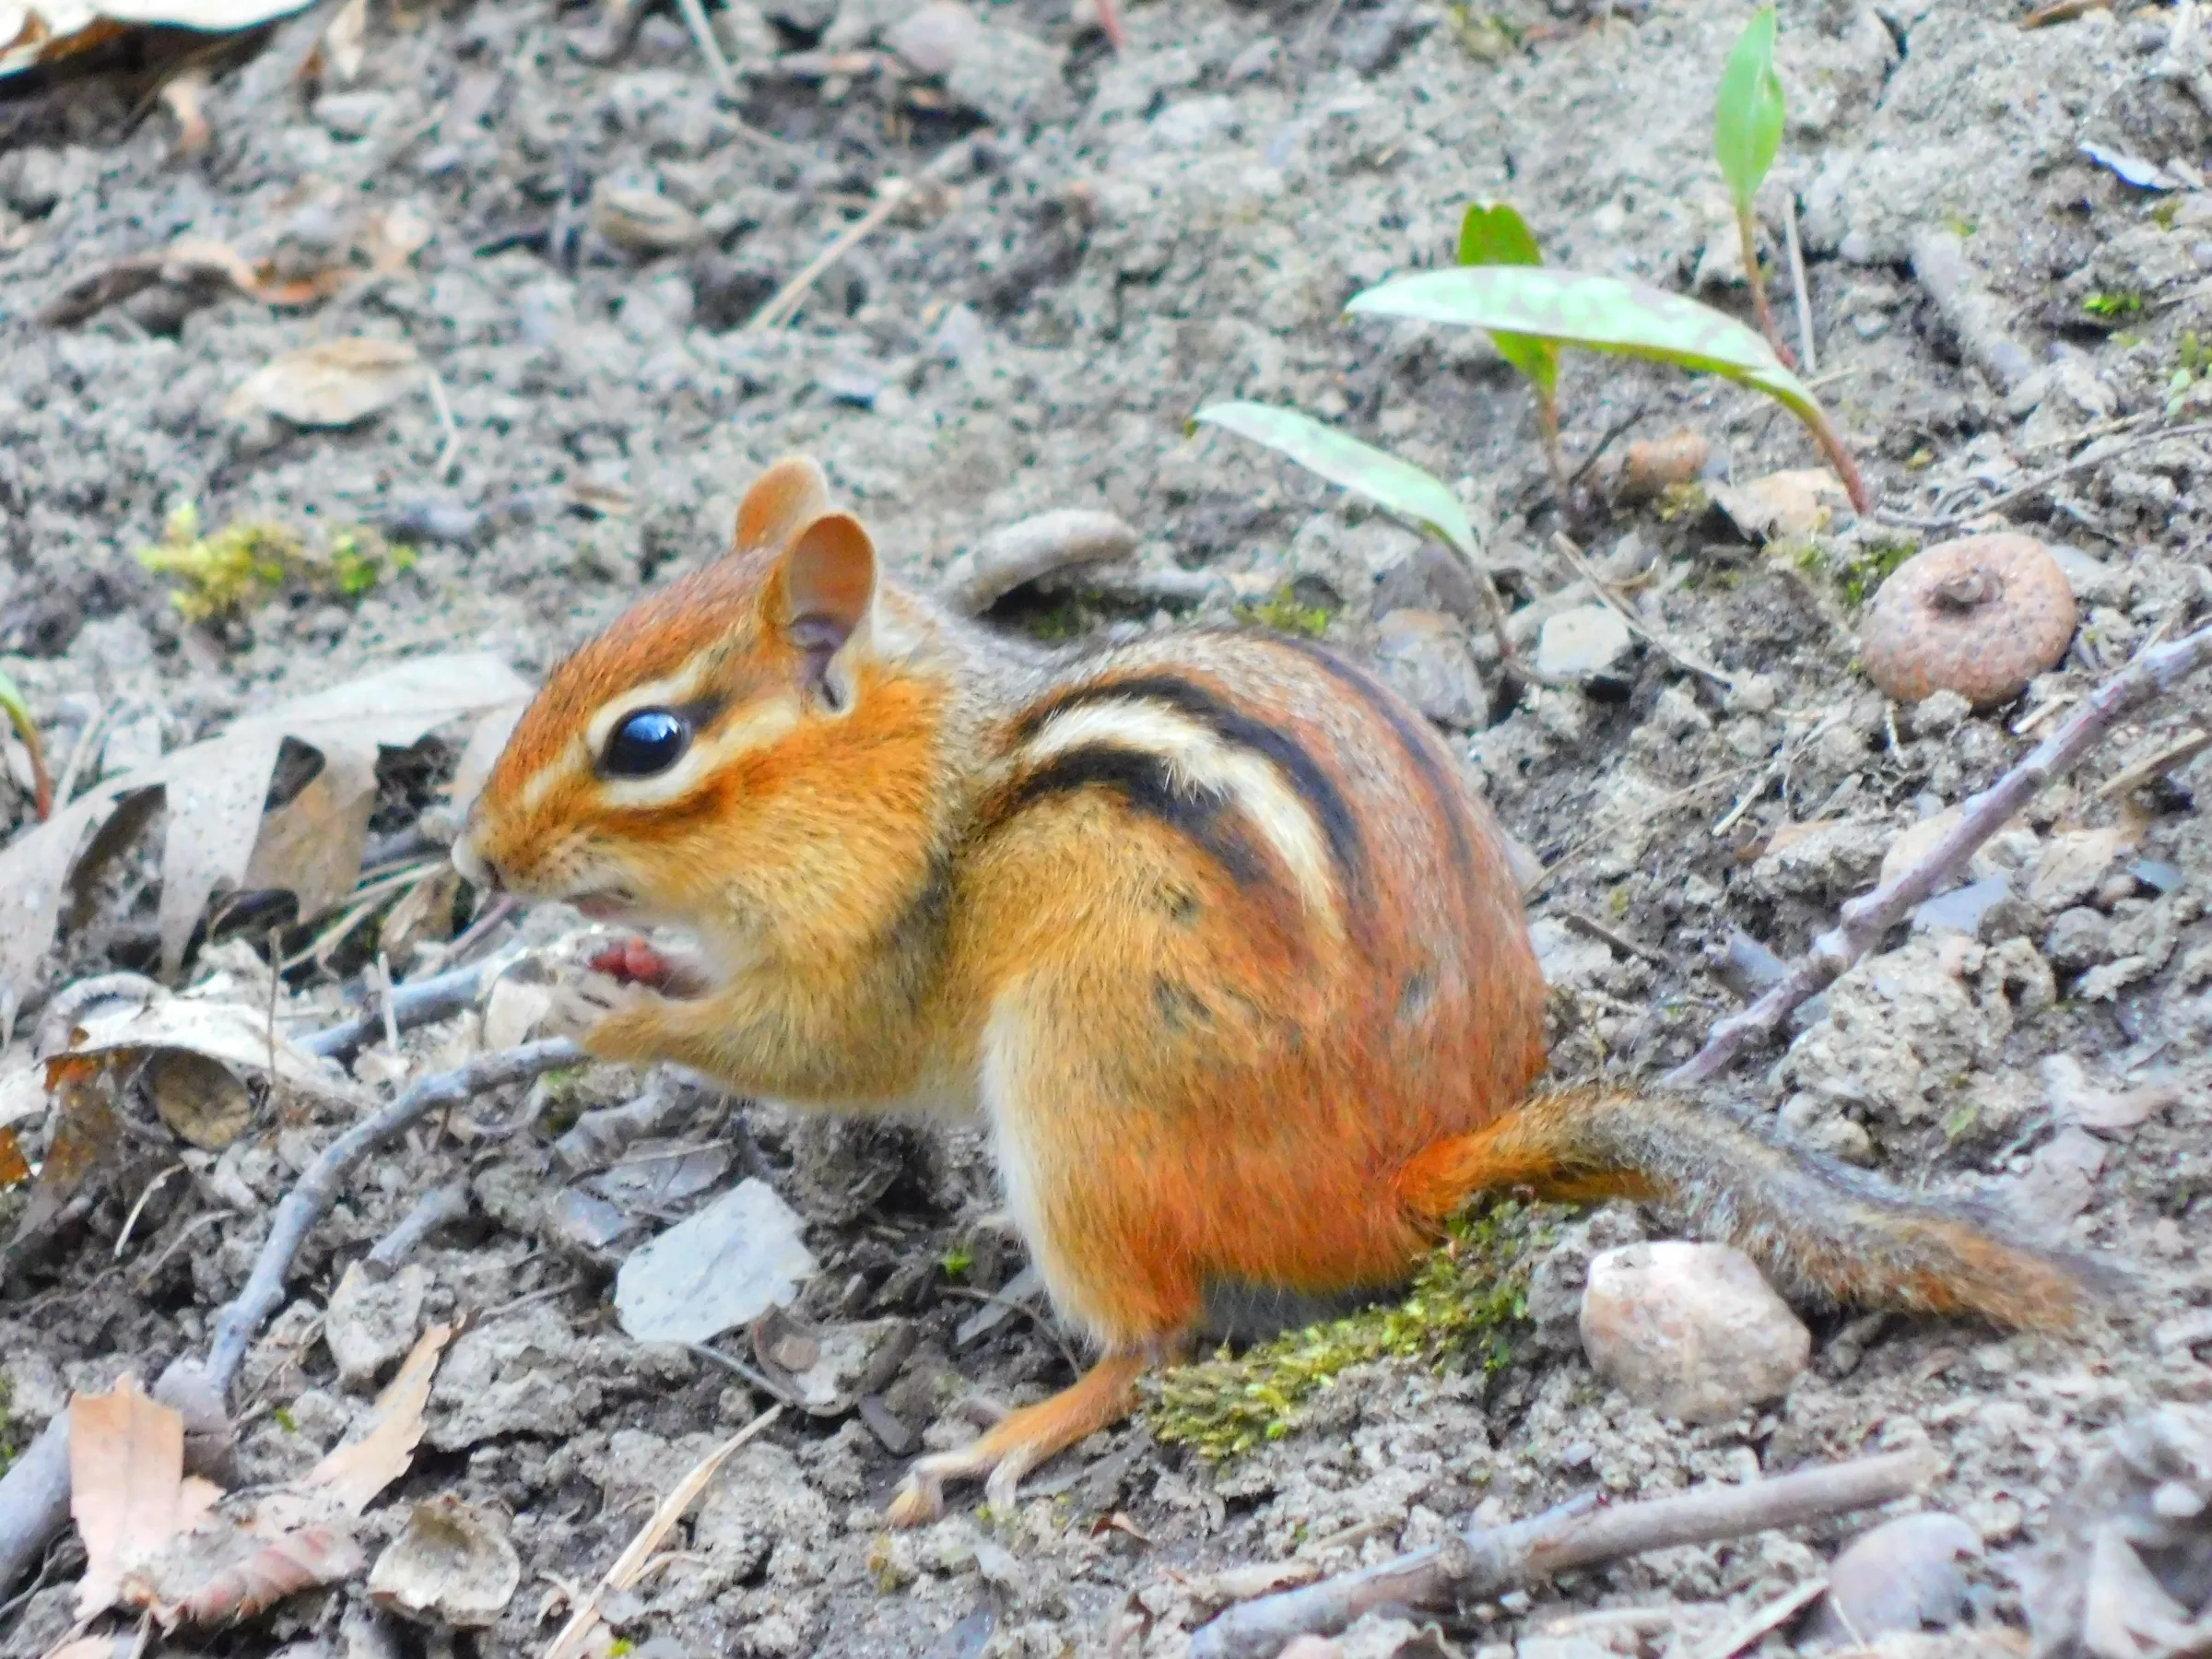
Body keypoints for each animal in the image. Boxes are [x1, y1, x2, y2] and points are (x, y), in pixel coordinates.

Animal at [453, 455, 2090, 1527]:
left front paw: (606, 1015)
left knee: (1153, 1340)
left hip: (1076, 1094)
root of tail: (1397, 1179)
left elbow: (810, 1048)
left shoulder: (879, 953)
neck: (915, 764)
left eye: (649, 740)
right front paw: (603, 964)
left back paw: (1017, 1432)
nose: (476, 855)